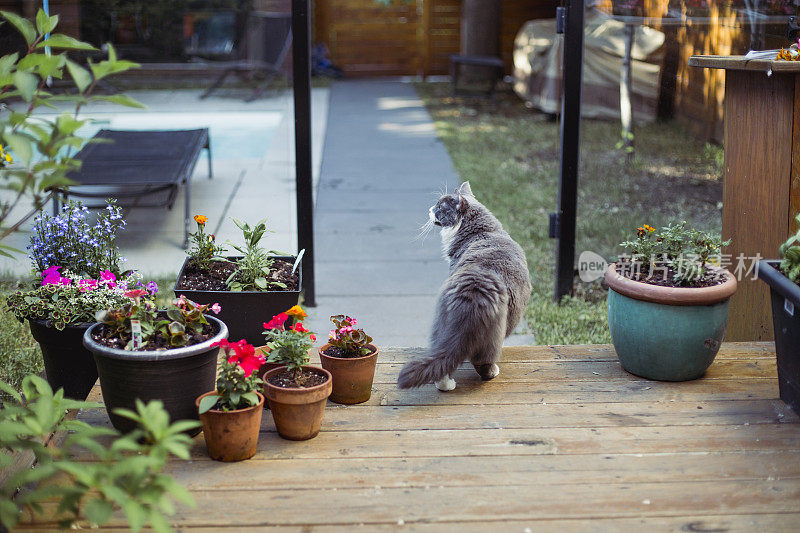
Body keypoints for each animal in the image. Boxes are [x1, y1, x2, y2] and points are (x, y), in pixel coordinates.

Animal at [398, 181, 532, 388]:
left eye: (440, 207)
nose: (429, 209)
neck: (483, 232)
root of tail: (473, 292)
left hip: (442, 327)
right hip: (493, 336)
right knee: (481, 362)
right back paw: (490, 373)